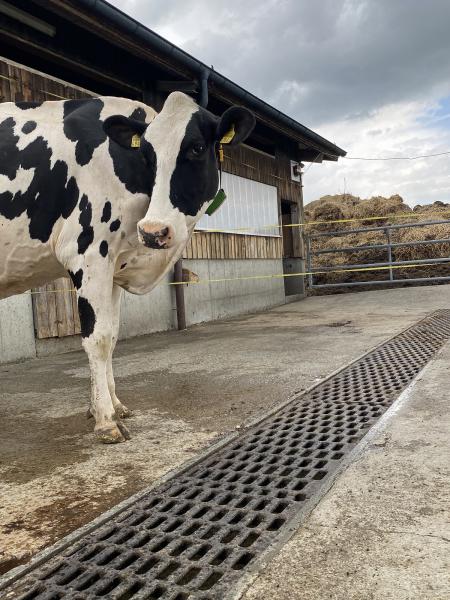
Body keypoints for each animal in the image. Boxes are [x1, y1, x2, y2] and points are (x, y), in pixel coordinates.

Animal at [0, 92, 255, 440]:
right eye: (147, 156)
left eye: (197, 148)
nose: (153, 231)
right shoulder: (88, 254)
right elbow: (98, 338)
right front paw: (106, 419)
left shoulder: (113, 266)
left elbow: (113, 335)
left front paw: (114, 405)